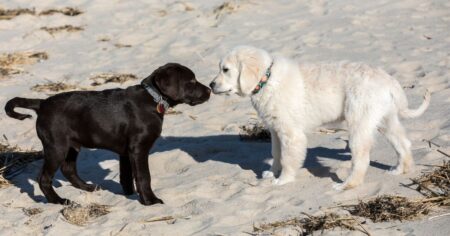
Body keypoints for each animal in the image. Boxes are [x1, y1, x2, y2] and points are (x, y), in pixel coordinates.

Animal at [3, 62, 211, 205]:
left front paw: (130, 195)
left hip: (71, 146)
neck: (153, 99)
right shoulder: (138, 149)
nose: (209, 90)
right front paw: (150, 201)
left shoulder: (126, 152)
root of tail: (42, 104)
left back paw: (88, 187)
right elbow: (144, 176)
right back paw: (59, 201)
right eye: (191, 81)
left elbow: (127, 176)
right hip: (56, 146)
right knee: (44, 178)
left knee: (68, 169)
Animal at [209, 45, 430, 190]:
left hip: (358, 121)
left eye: (226, 70)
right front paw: (272, 172)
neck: (268, 79)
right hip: (384, 119)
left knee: (361, 159)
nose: (210, 85)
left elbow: (288, 158)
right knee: (403, 143)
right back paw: (401, 169)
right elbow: (276, 154)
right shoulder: (275, 130)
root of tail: (388, 80)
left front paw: (283, 180)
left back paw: (346, 185)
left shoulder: (291, 133)